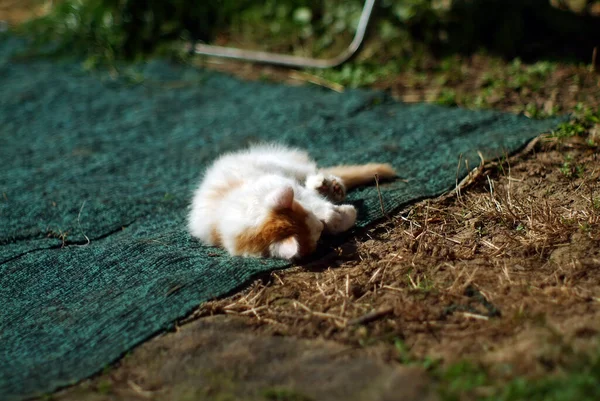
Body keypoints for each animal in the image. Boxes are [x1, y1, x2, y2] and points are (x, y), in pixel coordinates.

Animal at [186, 144, 394, 260]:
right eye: (316, 236)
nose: (320, 225)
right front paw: (338, 217)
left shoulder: (283, 184)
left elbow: (314, 201)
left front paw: (339, 215)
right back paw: (327, 189)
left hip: (285, 165)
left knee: (312, 172)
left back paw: (329, 186)